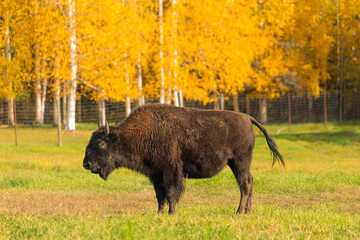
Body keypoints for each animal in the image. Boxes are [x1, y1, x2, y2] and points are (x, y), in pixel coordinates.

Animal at [83, 104, 286, 215]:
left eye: (100, 143)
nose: (86, 164)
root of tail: (246, 118)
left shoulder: (170, 171)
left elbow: (171, 193)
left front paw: (171, 213)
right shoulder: (155, 174)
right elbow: (159, 195)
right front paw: (159, 213)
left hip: (239, 161)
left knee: (244, 184)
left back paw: (238, 211)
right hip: (237, 163)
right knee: (249, 182)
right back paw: (247, 211)